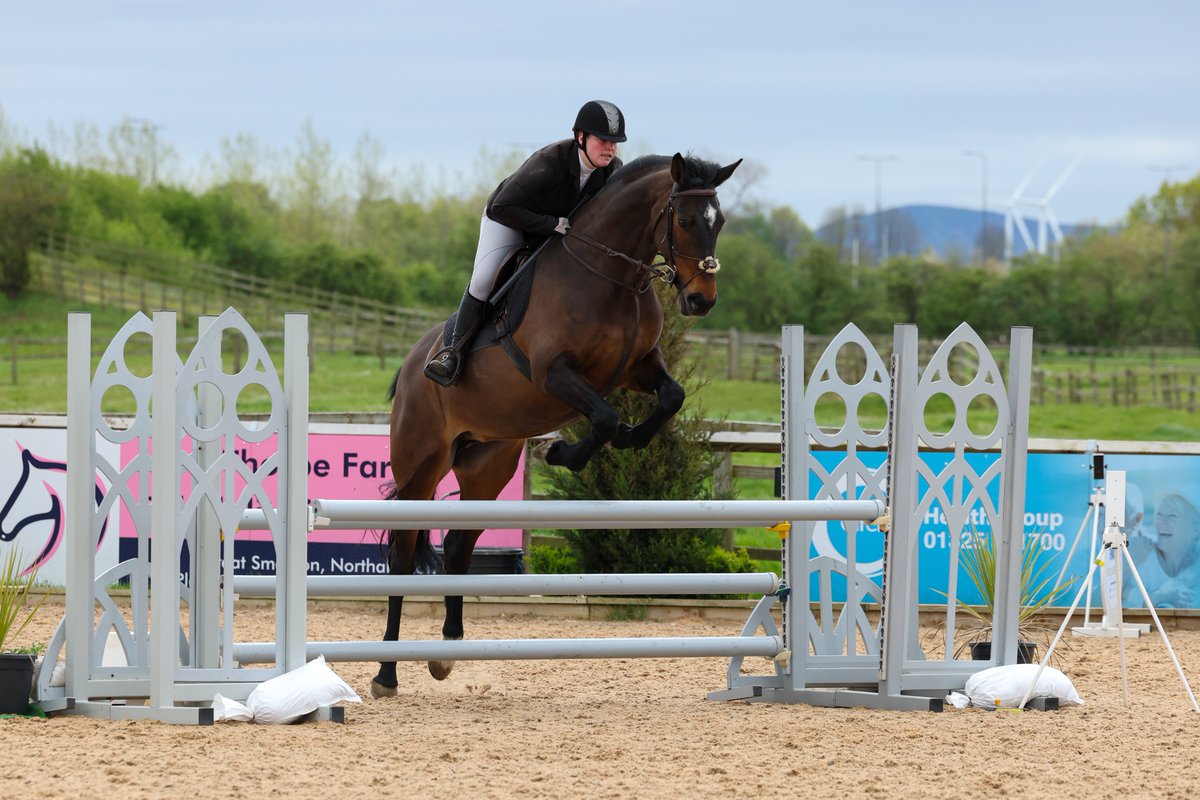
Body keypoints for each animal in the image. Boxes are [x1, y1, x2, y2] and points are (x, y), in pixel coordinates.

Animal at [372, 151, 739, 695]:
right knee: (401, 555)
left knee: (458, 545)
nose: (701, 301)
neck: (612, 275)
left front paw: (628, 439)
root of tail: (412, 365)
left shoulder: (637, 367)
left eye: (721, 221)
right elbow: (604, 416)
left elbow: (669, 397)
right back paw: (386, 673)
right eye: (687, 221)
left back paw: (447, 651)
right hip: (422, 464)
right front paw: (565, 453)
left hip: (487, 463)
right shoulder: (554, 373)